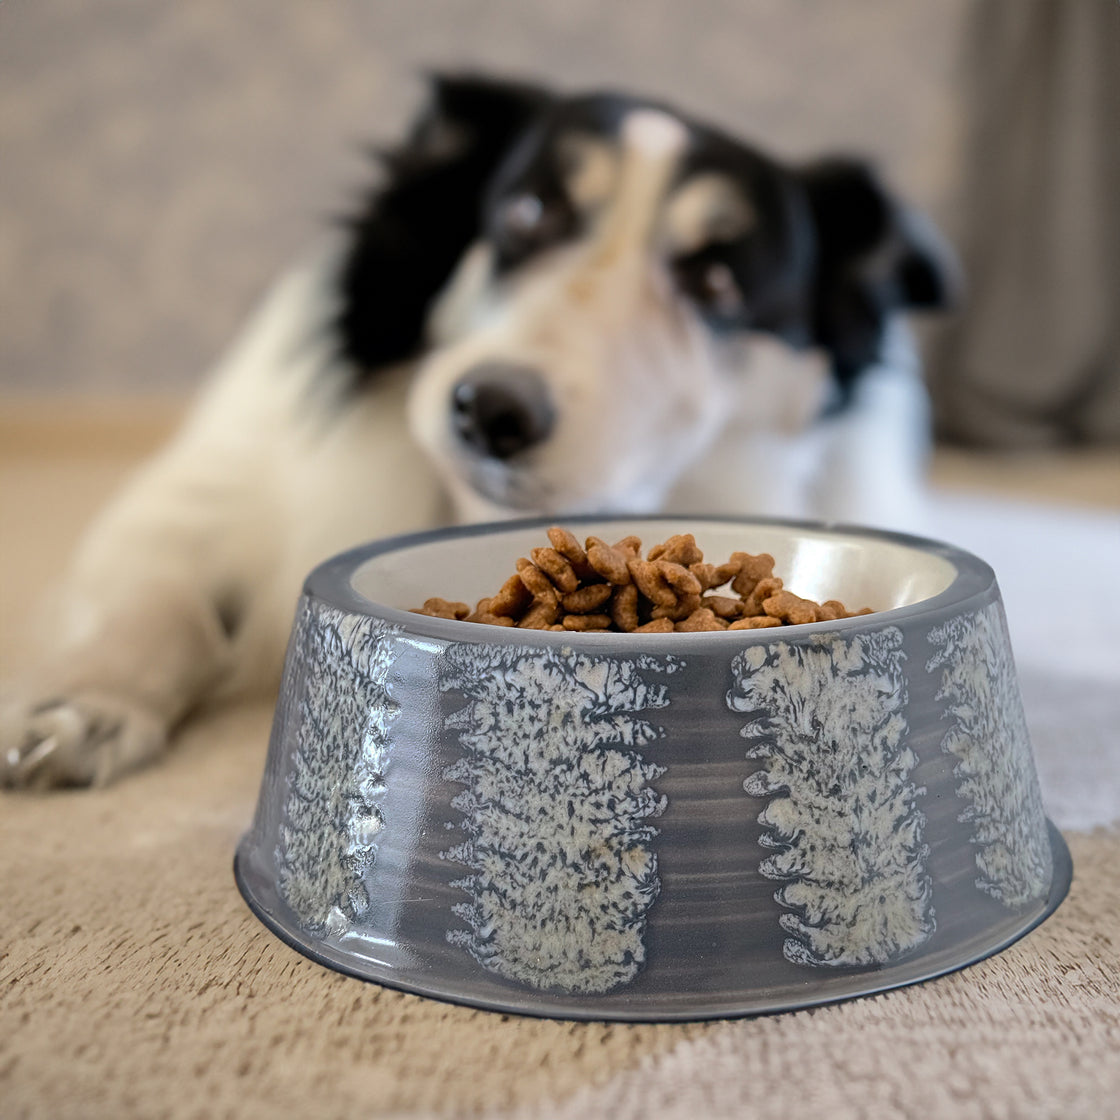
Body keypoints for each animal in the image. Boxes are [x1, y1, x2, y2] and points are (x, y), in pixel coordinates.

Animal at [2, 74, 954, 788]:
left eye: (718, 279)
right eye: (528, 212)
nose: (492, 411)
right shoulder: (201, 491)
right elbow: (165, 605)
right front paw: (84, 706)